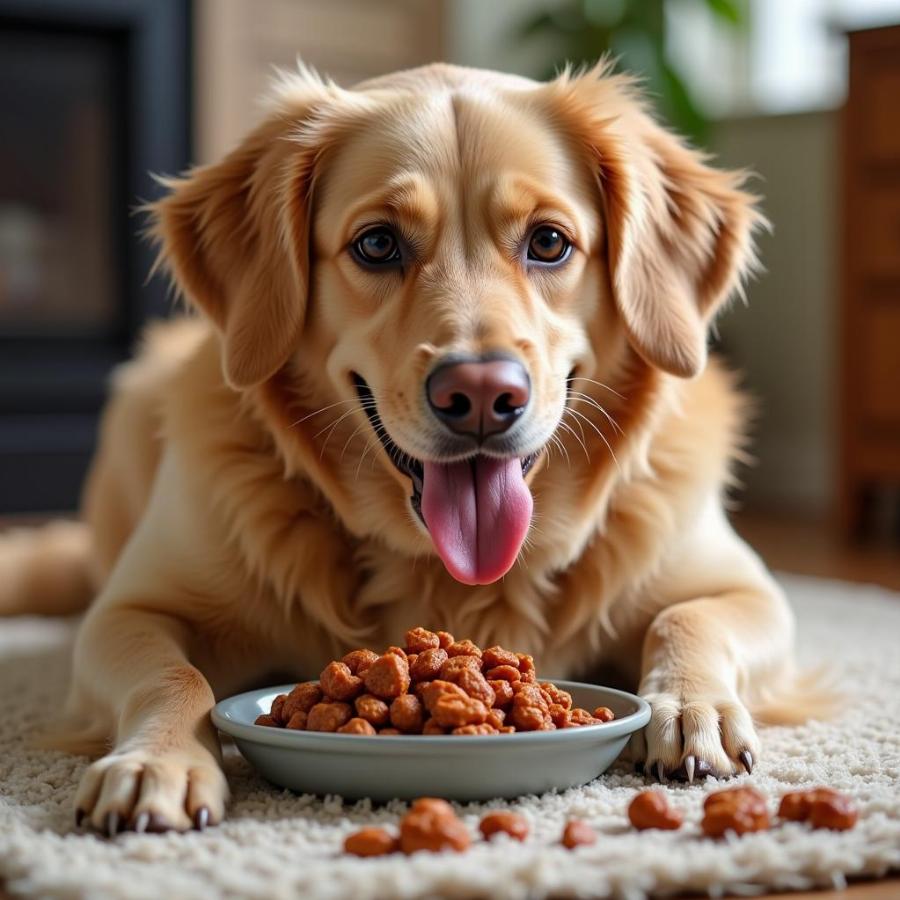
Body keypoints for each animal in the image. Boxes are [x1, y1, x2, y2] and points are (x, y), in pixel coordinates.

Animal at [1, 61, 816, 836]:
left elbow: (688, 618)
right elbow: (174, 676)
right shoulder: (130, 610)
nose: (482, 394)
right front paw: (157, 762)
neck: (443, 571)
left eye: (549, 242)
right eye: (377, 243)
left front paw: (692, 708)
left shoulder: (746, 588)